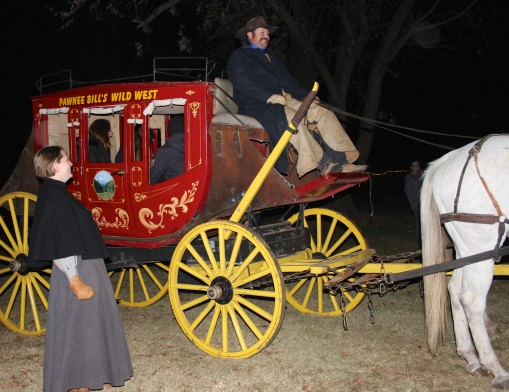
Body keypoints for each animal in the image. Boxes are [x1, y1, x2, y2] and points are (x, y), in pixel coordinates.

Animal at [418, 133, 506, 388]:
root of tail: (442, 163)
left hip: (465, 246)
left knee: (455, 290)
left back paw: (471, 358)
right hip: (480, 239)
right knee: (471, 298)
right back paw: (496, 369)